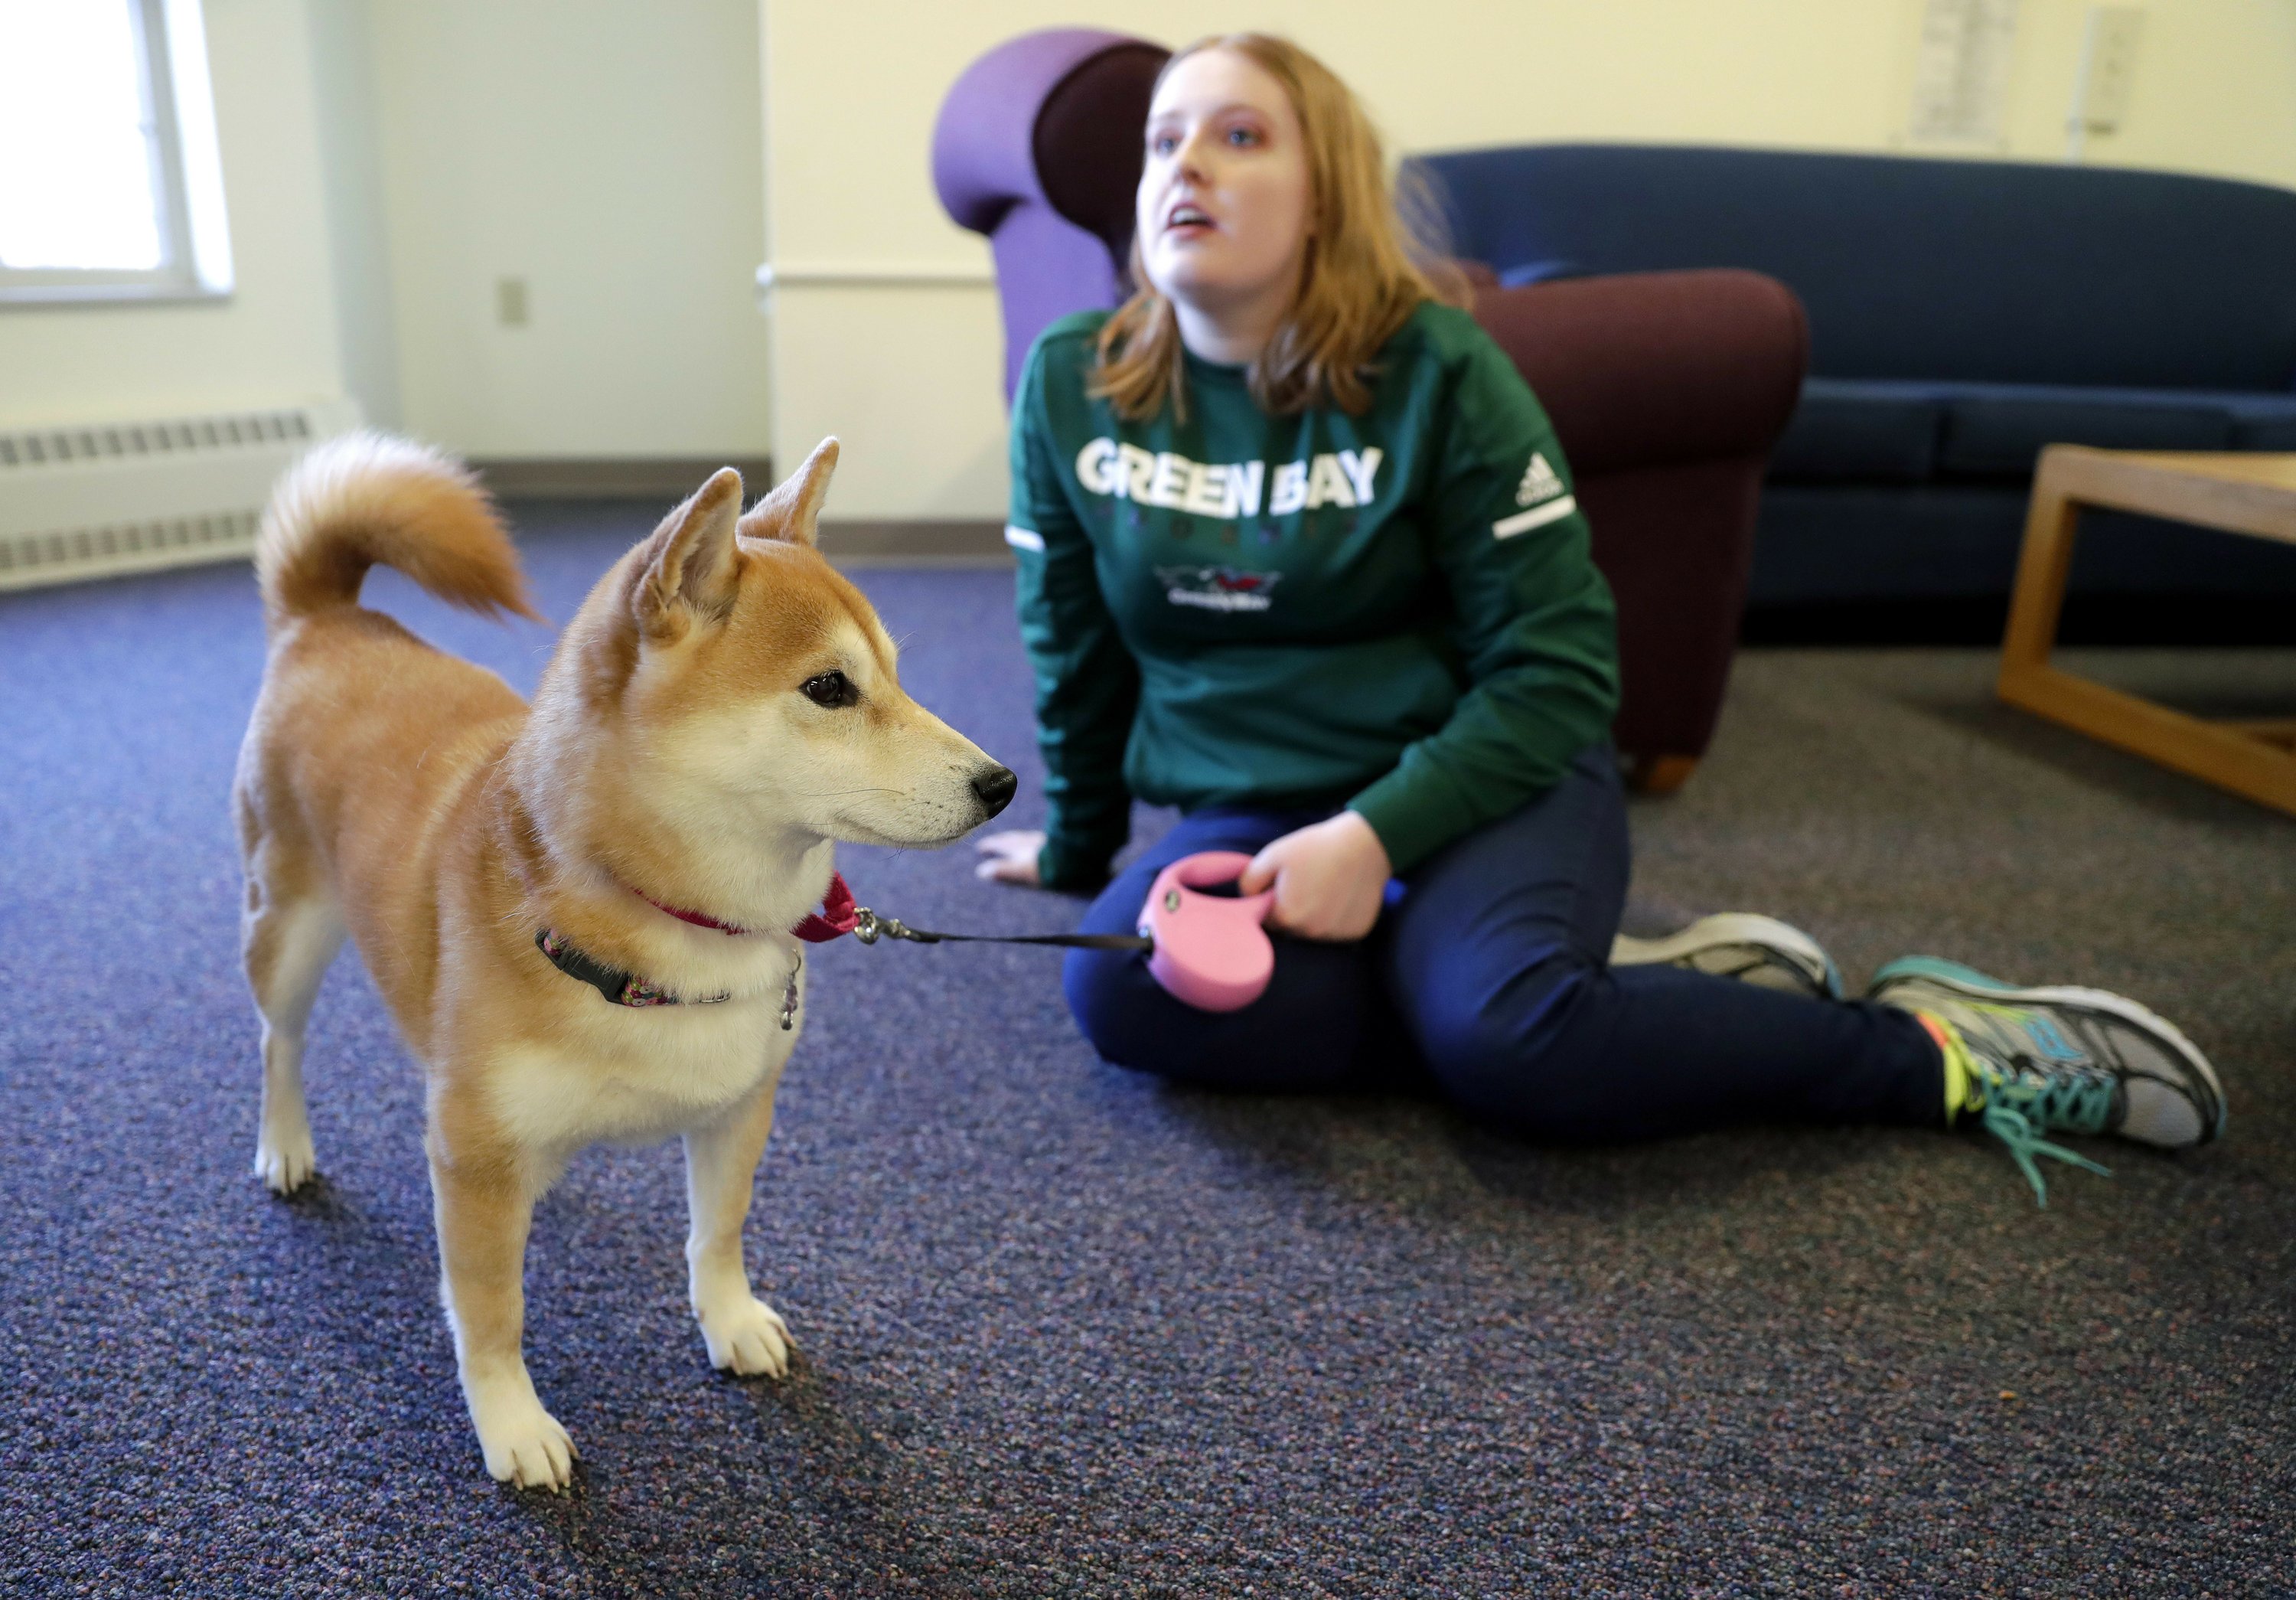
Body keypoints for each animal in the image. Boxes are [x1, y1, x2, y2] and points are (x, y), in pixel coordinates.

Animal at [233, 433, 1015, 1487]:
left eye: (895, 673)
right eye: (829, 688)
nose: (1002, 783)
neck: (679, 926)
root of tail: (330, 620)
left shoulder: (738, 1104)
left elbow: (718, 1233)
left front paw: (730, 1322)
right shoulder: (473, 1157)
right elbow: (490, 1312)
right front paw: (512, 1420)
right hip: (290, 929)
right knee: (280, 1042)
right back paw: (286, 1144)